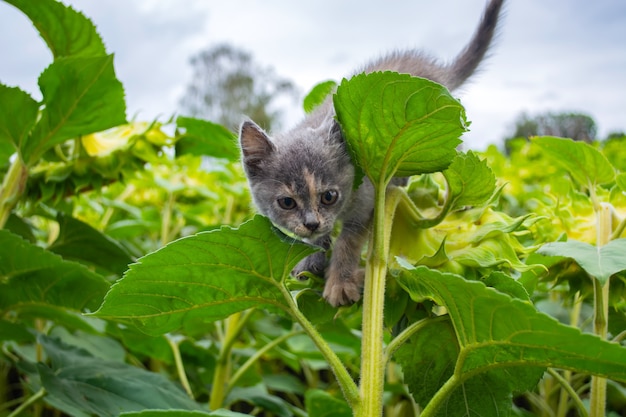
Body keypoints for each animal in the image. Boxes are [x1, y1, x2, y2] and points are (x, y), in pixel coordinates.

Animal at [238, 0, 502, 306]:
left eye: (329, 196)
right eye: (287, 203)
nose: (312, 223)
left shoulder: (365, 203)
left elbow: (348, 241)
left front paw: (340, 284)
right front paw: (312, 257)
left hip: (440, 138)